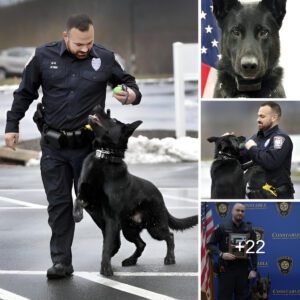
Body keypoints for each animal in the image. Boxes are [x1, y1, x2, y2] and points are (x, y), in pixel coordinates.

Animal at [73, 105, 198, 276]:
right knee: (141, 244)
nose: (97, 106)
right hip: (129, 229)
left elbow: (107, 246)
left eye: (112, 119)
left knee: (169, 236)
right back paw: (131, 260)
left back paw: (169, 258)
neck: (104, 157)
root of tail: (159, 194)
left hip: (154, 227)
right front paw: (77, 214)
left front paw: (106, 268)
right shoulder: (86, 196)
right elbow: (77, 200)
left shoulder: (111, 218)